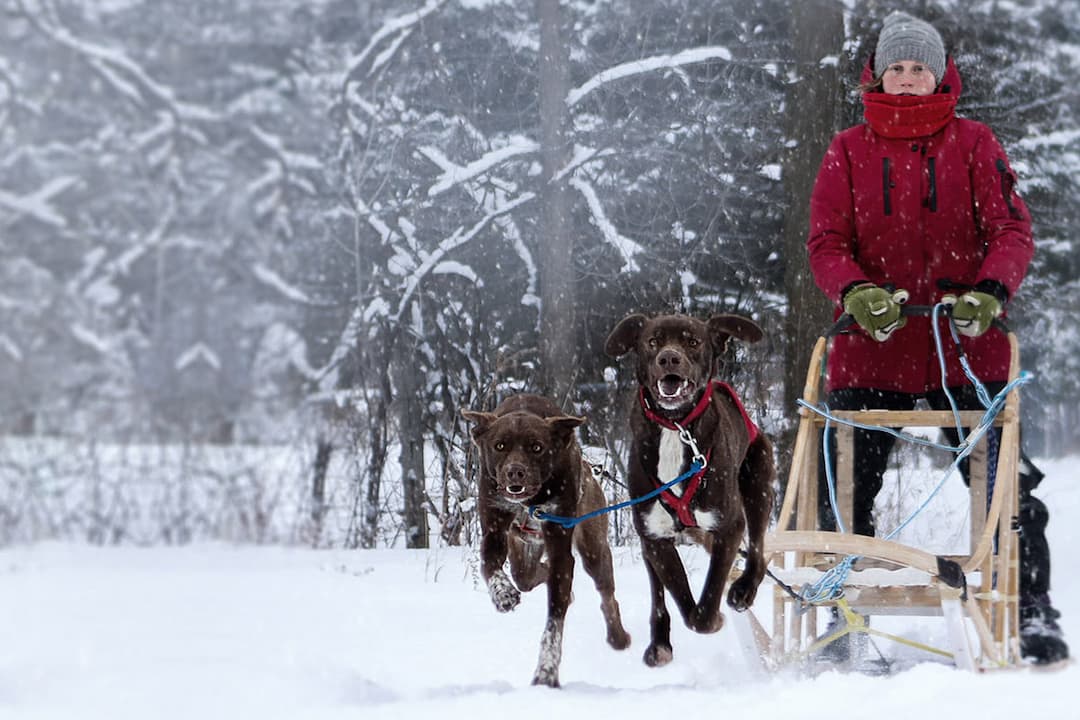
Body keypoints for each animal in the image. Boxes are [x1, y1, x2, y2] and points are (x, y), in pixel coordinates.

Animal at [460, 395, 630, 686]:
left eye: (536, 447)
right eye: (500, 445)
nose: (515, 472)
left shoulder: (560, 537)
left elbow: (554, 623)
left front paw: (546, 671)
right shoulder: (494, 528)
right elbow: (489, 565)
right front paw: (503, 594)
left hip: (593, 547)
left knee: (606, 593)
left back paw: (618, 636)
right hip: (522, 550)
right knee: (525, 576)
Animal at [609, 313, 777, 669]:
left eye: (693, 341)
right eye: (652, 341)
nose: (669, 358)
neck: (676, 427)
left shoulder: (728, 525)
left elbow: (709, 595)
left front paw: (714, 617)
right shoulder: (655, 538)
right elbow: (681, 599)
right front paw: (693, 620)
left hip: (758, 484)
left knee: (757, 548)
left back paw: (744, 590)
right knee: (659, 596)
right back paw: (659, 644)